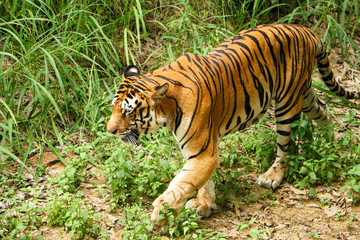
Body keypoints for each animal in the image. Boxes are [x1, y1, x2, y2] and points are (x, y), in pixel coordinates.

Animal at [107, 23, 360, 224]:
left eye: (128, 111)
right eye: (113, 108)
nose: (110, 131)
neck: (167, 109)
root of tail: (306, 30)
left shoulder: (202, 151)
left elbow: (182, 183)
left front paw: (162, 213)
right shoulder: (201, 150)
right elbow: (201, 180)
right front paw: (204, 205)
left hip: (287, 103)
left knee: (286, 146)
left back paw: (272, 177)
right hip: (304, 92)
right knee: (324, 112)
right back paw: (329, 146)